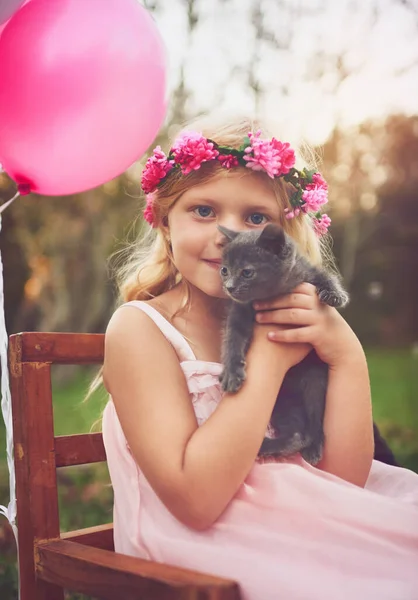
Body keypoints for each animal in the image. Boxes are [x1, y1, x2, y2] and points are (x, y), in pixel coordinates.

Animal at [219, 224, 350, 464]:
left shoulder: (308, 272)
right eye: (224, 270)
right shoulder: (239, 310)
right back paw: (267, 446)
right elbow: (232, 337)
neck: (276, 292)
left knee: (314, 423)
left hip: (315, 381)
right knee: (297, 434)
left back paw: (312, 448)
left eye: (247, 272)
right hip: (280, 401)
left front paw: (335, 295)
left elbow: (326, 276)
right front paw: (232, 372)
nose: (229, 287)